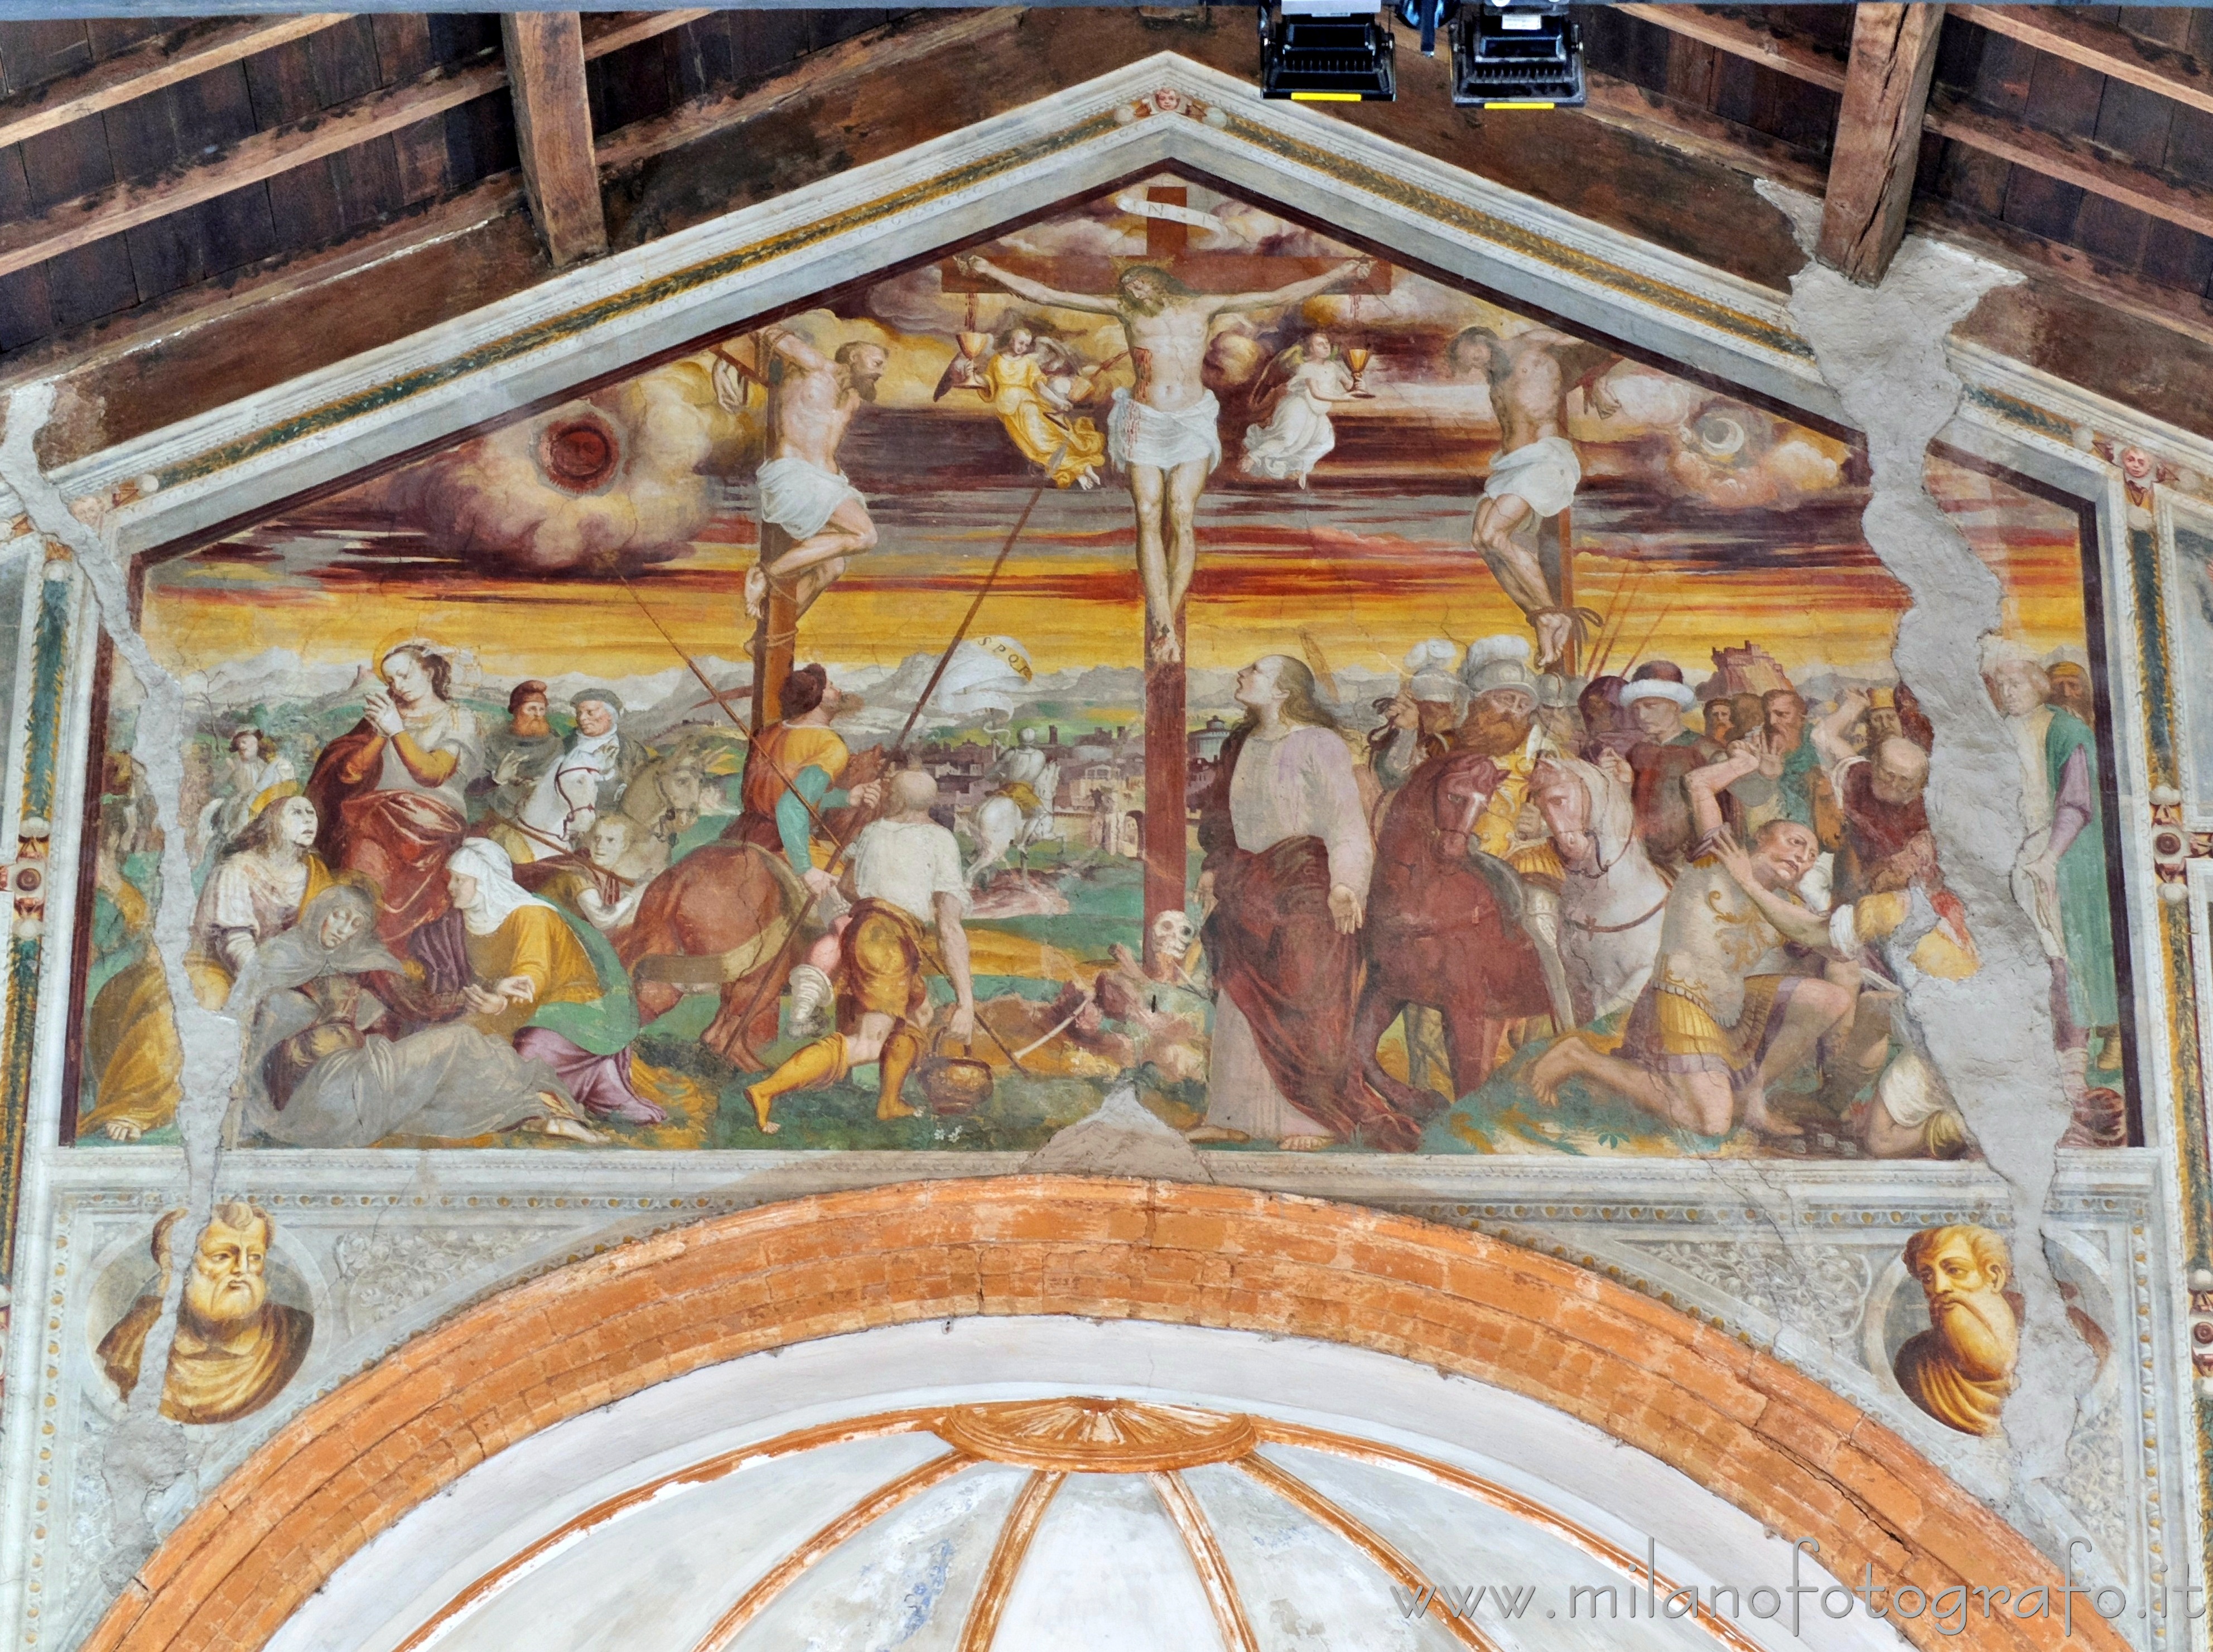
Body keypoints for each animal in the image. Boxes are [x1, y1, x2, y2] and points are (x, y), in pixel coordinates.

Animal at [1531, 753, 1664, 1023]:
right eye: (1538, 804)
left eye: (1558, 799)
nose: (1568, 848)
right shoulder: (1586, 983)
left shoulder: (1640, 974)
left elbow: (1609, 1012)